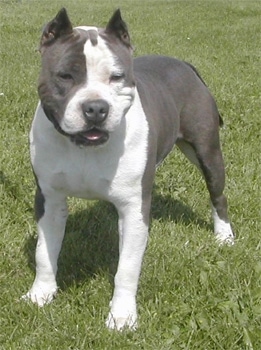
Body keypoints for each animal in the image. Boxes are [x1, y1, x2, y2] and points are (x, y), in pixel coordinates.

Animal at [22, 8, 234, 330]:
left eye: (117, 77)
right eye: (65, 76)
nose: (96, 108)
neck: (84, 148)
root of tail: (184, 63)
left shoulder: (134, 208)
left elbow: (127, 268)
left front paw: (122, 316)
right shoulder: (50, 199)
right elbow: (44, 253)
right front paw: (40, 295)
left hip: (206, 150)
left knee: (217, 193)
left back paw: (224, 236)